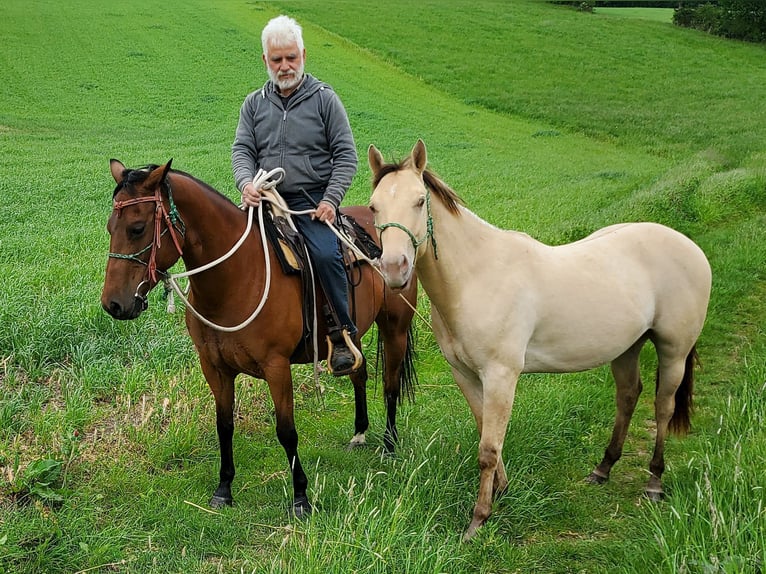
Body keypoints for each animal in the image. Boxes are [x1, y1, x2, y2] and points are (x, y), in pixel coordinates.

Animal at [103, 161, 420, 516]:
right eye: (110, 227)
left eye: (137, 228)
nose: (113, 304)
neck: (236, 278)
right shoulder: (214, 368)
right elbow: (224, 425)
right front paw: (224, 488)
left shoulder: (276, 367)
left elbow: (287, 431)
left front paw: (300, 497)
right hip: (353, 336)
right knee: (359, 373)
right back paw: (360, 433)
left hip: (395, 327)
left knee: (391, 384)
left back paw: (389, 446)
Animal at [366, 138, 712, 540]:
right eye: (374, 206)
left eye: (419, 201)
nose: (394, 269)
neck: (476, 276)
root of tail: (689, 246)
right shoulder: (465, 376)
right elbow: (486, 432)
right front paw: (501, 491)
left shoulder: (501, 376)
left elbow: (488, 447)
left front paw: (479, 519)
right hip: (627, 348)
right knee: (628, 397)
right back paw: (603, 468)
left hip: (674, 350)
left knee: (662, 406)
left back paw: (654, 482)